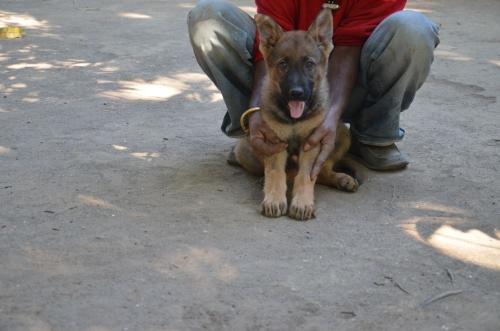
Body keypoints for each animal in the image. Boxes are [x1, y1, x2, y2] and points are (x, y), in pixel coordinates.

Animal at [232, 8, 358, 220]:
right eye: (283, 64)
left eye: (309, 64)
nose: (296, 93)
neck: (294, 120)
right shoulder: (274, 141)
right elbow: (275, 172)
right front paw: (274, 199)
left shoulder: (312, 142)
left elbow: (306, 175)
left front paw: (302, 203)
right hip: (244, 149)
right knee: (284, 173)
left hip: (342, 134)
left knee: (321, 171)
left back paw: (341, 179)